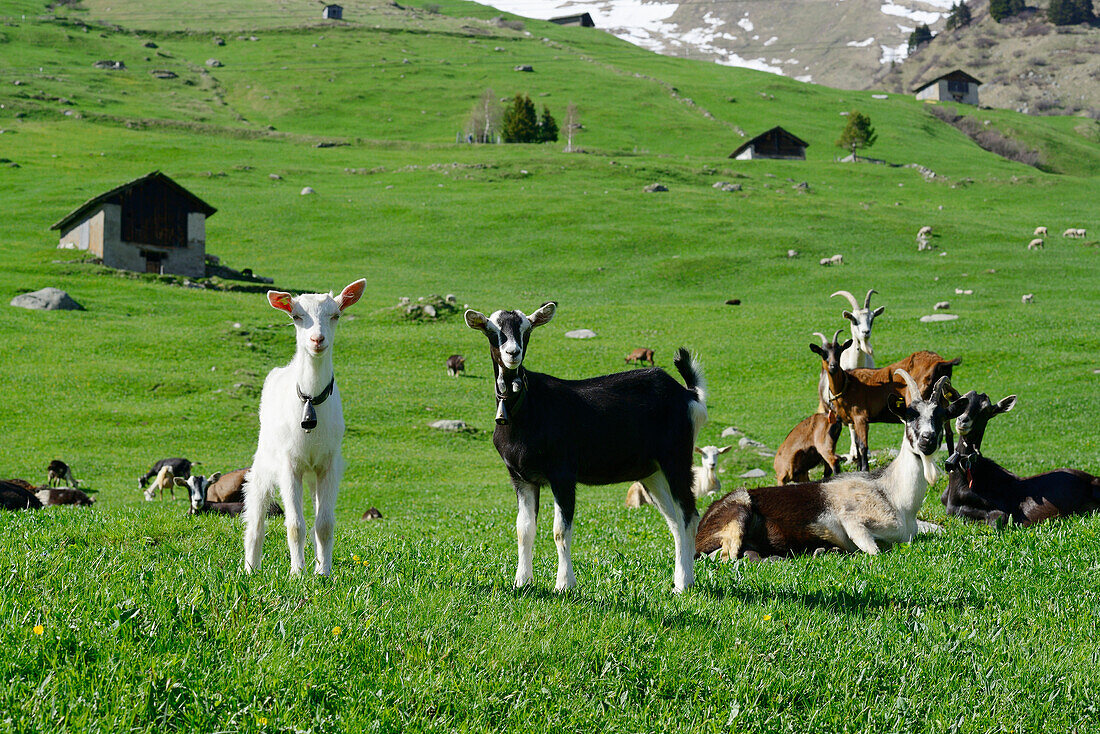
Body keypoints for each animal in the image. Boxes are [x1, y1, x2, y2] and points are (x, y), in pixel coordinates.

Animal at [240, 278, 365, 576]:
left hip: (312, 474)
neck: (310, 400)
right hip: (265, 458)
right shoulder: (289, 464)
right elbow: (295, 525)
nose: (317, 340)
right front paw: (297, 573)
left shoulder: (329, 463)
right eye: (297, 316)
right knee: (255, 515)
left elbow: (324, 524)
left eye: (336, 315)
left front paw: (324, 572)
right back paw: (250, 568)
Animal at [462, 301, 704, 594]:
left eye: (526, 329)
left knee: (689, 515)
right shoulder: (521, 478)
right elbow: (524, 530)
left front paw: (564, 584)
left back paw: (684, 583)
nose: (512, 353)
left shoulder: (563, 474)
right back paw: (679, 579)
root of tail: (689, 395)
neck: (526, 408)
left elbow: (560, 531)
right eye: (491, 329)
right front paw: (522, 582)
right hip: (652, 473)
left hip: (676, 458)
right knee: (675, 521)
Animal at [699, 374, 959, 563]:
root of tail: (702, 524)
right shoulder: (852, 521)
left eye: (940, 416)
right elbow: (874, 551)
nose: (927, 440)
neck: (894, 497)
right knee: (724, 557)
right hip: (737, 516)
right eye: (909, 415)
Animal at [814, 332, 959, 470]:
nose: (833, 366)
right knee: (948, 433)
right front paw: (859, 467)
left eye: (839, 351)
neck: (847, 383)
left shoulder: (861, 416)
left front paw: (864, 469)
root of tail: (941, 362)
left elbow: (862, 446)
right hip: (942, 399)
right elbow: (856, 443)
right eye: (823, 353)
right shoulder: (853, 419)